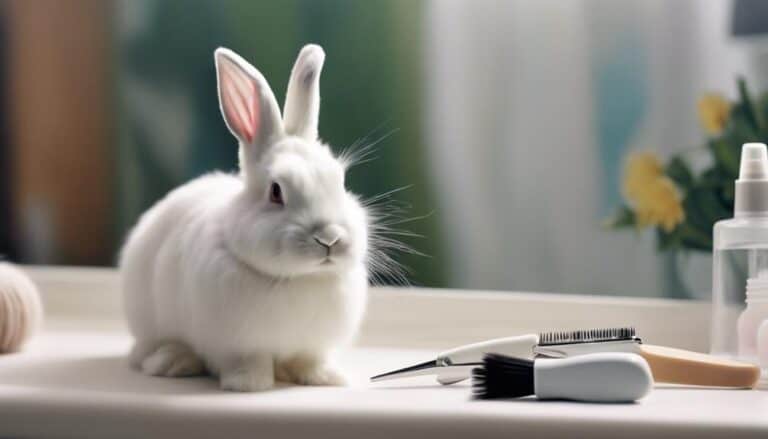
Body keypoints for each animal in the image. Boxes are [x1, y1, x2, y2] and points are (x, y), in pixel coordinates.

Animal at [119, 44, 369, 391]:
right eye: (276, 192)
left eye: (341, 182)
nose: (329, 238)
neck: (296, 279)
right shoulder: (236, 346)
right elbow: (248, 363)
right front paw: (249, 385)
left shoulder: (311, 345)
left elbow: (308, 360)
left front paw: (326, 378)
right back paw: (171, 361)